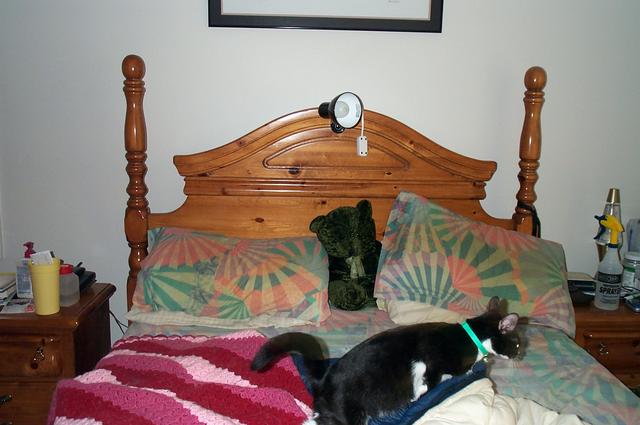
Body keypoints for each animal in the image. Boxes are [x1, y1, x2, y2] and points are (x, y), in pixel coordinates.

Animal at [251, 296, 521, 425]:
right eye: (517, 343)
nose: (519, 354)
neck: (471, 336)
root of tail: (324, 376)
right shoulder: (431, 355)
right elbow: (430, 381)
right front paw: (419, 395)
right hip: (349, 417)